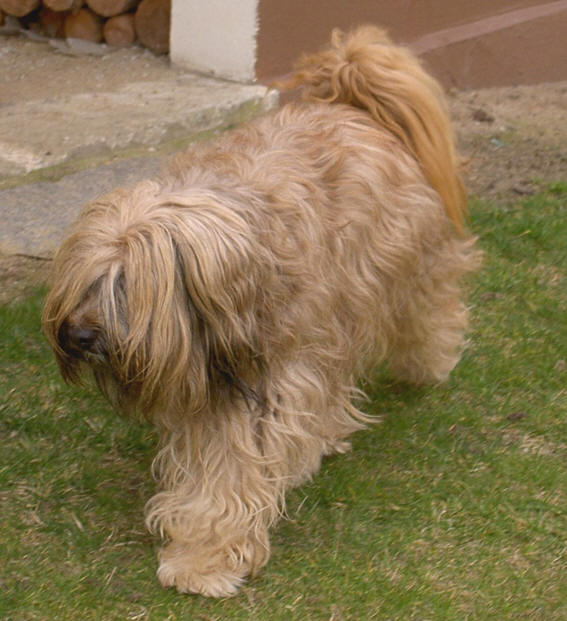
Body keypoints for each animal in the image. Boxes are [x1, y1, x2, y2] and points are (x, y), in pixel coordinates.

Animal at [43, 26, 480, 592]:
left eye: (127, 287)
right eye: (86, 282)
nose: (77, 336)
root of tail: (350, 100)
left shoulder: (258, 379)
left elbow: (229, 476)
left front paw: (202, 561)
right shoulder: (216, 377)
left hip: (398, 271)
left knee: (426, 310)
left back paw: (427, 364)